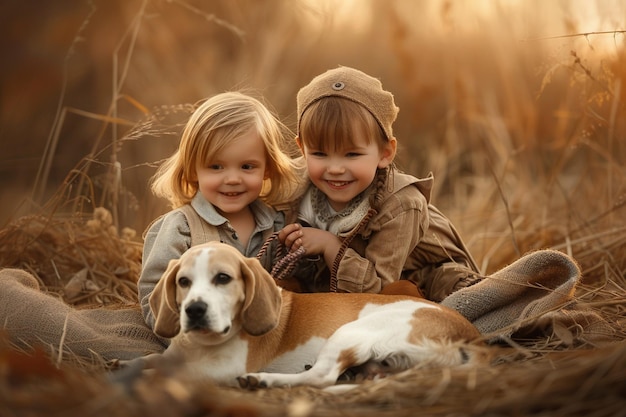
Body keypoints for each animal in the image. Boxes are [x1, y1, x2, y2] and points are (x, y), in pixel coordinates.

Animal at [144, 240, 480, 386]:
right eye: (183, 282)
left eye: (223, 278)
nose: (194, 309)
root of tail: (470, 338)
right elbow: (151, 361)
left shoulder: (225, 368)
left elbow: (168, 371)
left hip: (350, 332)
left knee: (322, 377)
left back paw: (263, 380)